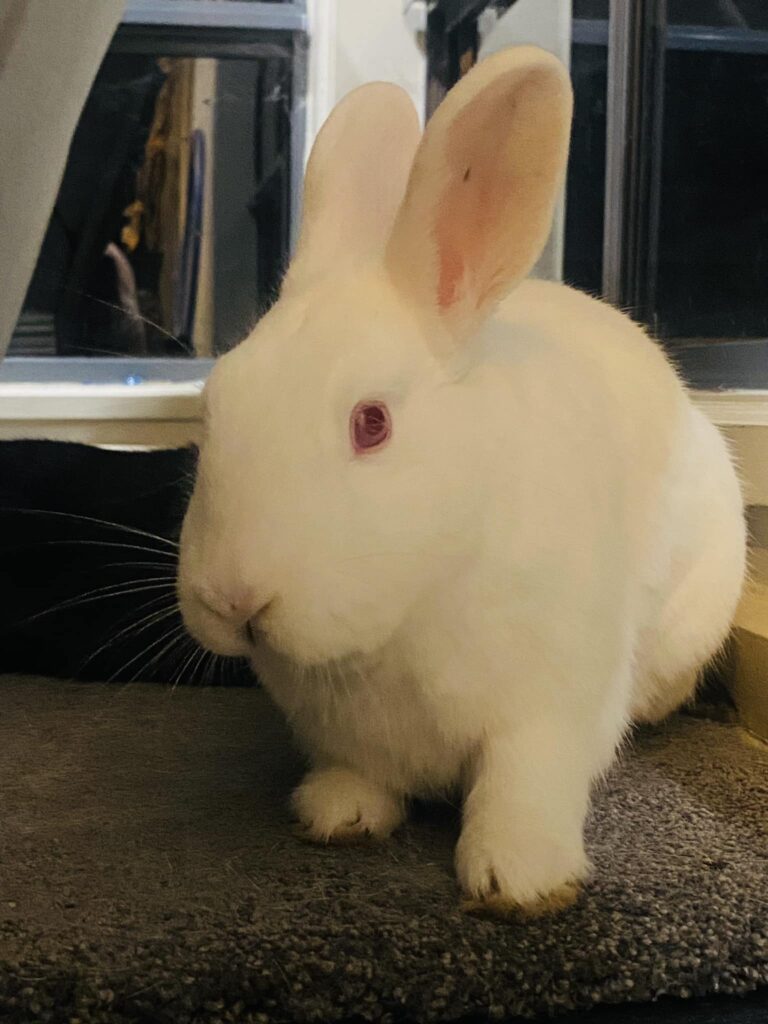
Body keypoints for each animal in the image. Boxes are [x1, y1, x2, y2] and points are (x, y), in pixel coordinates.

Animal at [177, 46, 746, 915]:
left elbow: (523, 785)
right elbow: (359, 774)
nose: (233, 600)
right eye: (212, 406)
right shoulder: (342, 733)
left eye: (372, 423)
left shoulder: (551, 708)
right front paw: (339, 815)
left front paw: (521, 879)